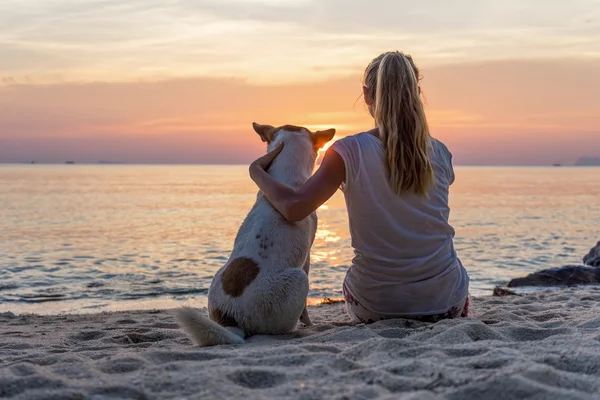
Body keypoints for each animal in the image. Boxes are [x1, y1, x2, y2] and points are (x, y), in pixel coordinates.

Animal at [171, 122, 336, 346]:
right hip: (298, 278)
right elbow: (305, 309)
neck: (286, 178)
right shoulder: (307, 256)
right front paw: (309, 324)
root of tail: (230, 317)